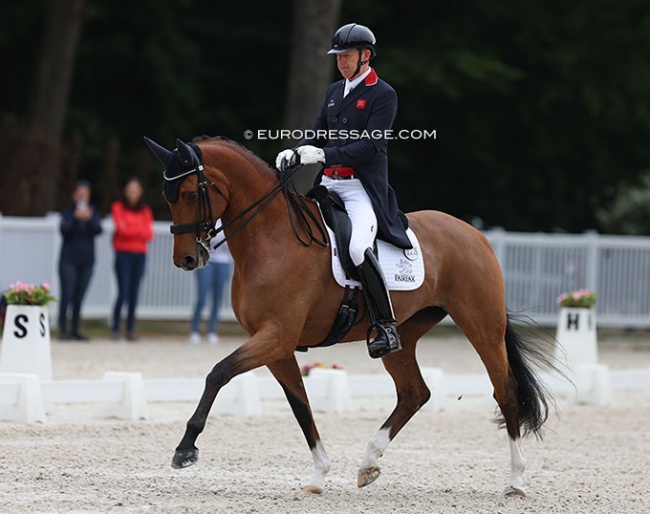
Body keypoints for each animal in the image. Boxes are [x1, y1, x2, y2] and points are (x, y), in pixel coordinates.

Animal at [144, 135, 556, 496]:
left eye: (189, 193)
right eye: (167, 196)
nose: (186, 259)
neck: (269, 236)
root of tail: (476, 234)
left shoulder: (277, 335)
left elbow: (218, 373)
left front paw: (185, 448)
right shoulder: (277, 344)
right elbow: (300, 404)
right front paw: (318, 475)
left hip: (481, 326)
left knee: (504, 390)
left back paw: (516, 480)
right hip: (404, 333)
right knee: (414, 393)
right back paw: (368, 463)